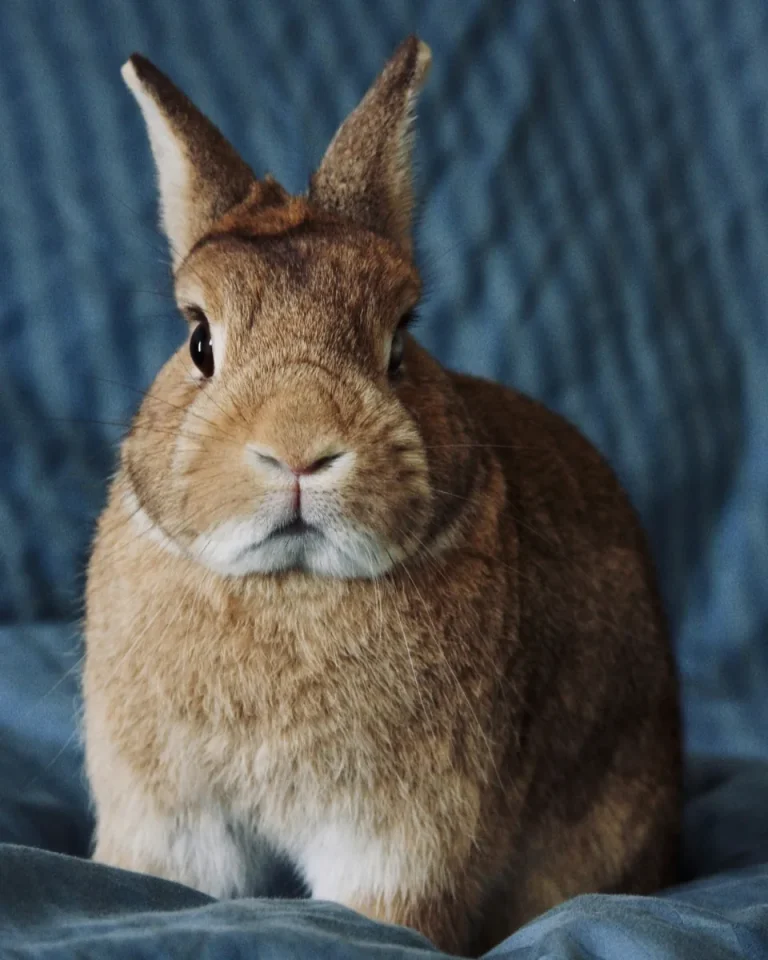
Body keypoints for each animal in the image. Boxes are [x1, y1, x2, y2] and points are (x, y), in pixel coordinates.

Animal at [83, 36, 682, 956]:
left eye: (401, 340)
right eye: (198, 342)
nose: (299, 447)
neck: (290, 586)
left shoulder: (406, 833)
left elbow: (385, 911)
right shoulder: (173, 813)